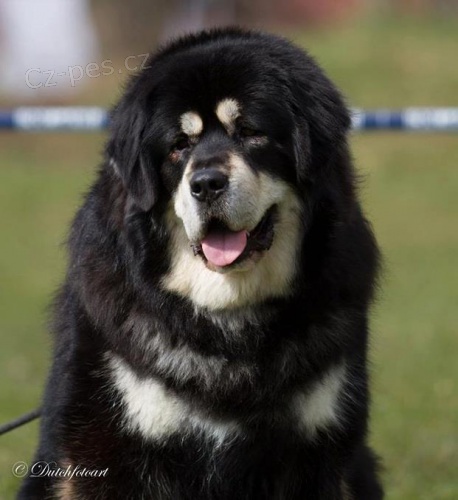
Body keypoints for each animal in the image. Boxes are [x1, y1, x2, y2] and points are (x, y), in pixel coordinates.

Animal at [19, 28, 383, 499]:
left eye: (250, 132)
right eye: (179, 146)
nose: (207, 183)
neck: (228, 319)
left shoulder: (316, 449)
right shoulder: (108, 451)